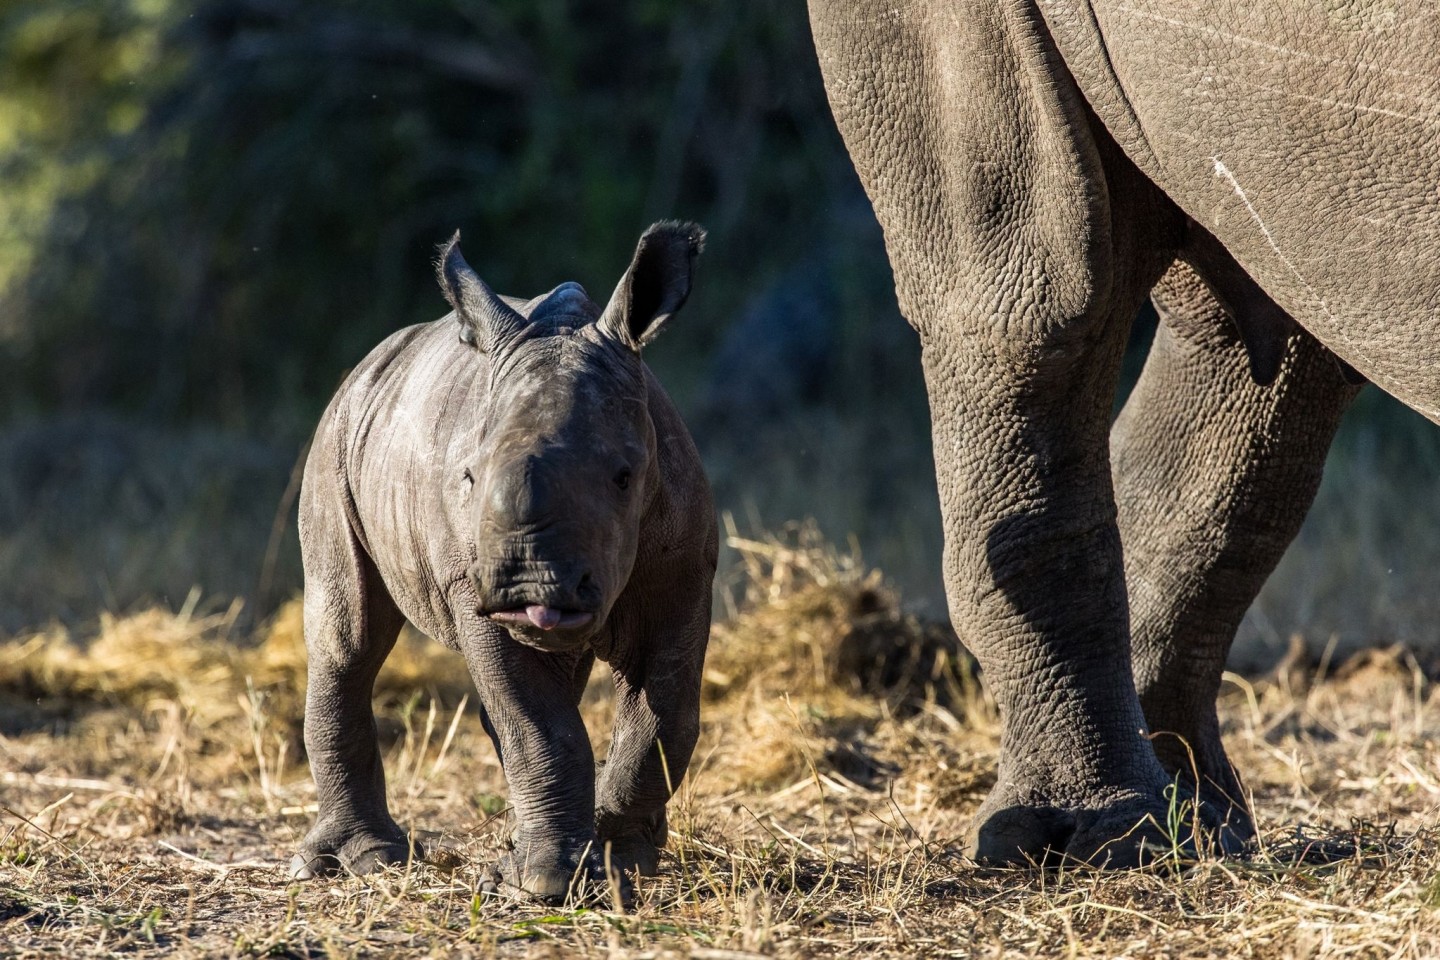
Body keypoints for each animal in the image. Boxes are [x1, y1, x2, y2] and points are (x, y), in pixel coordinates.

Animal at [293, 223, 720, 903]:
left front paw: (621, 859)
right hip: (336, 436)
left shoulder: (683, 571)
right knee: (348, 635)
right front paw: (548, 883)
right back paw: (361, 863)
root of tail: (373, 359)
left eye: (625, 477)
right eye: (466, 477)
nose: (528, 587)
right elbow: (539, 724)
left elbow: (665, 718)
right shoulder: (474, 588)